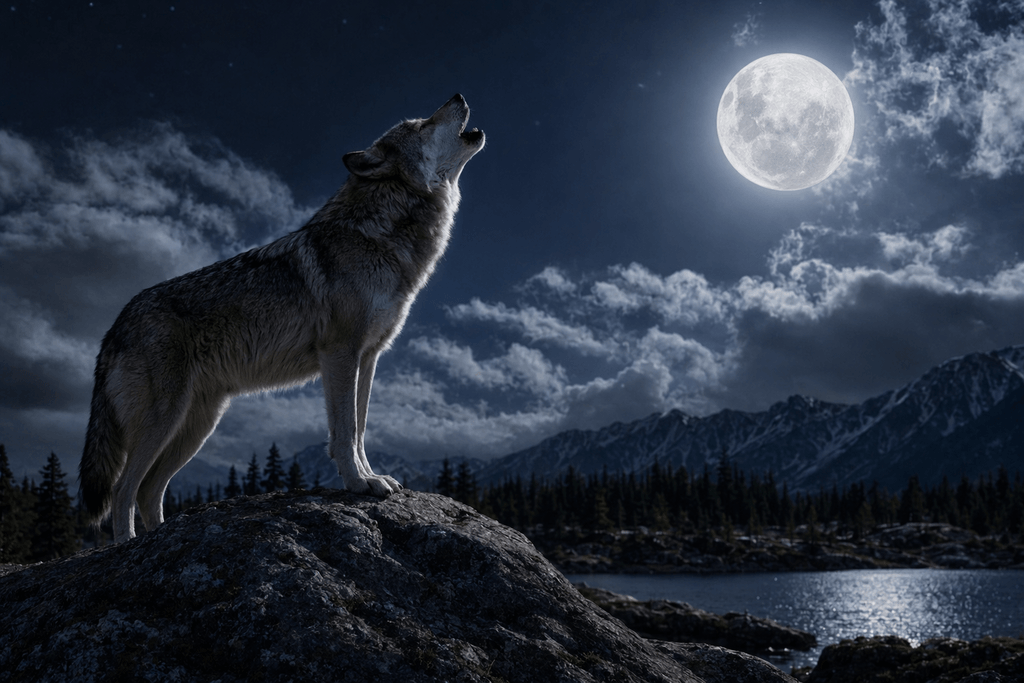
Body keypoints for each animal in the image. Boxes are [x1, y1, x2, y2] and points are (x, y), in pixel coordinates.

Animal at [79, 94, 485, 542]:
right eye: (420, 125)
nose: (459, 96)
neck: (381, 235)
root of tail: (114, 326)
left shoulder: (368, 357)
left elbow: (360, 427)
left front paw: (370, 476)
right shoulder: (340, 354)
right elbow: (345, 431)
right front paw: (358, 483)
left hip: (196, 427)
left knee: (149, 491)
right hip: (164, 421)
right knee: (123, 490)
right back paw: (127, 546)